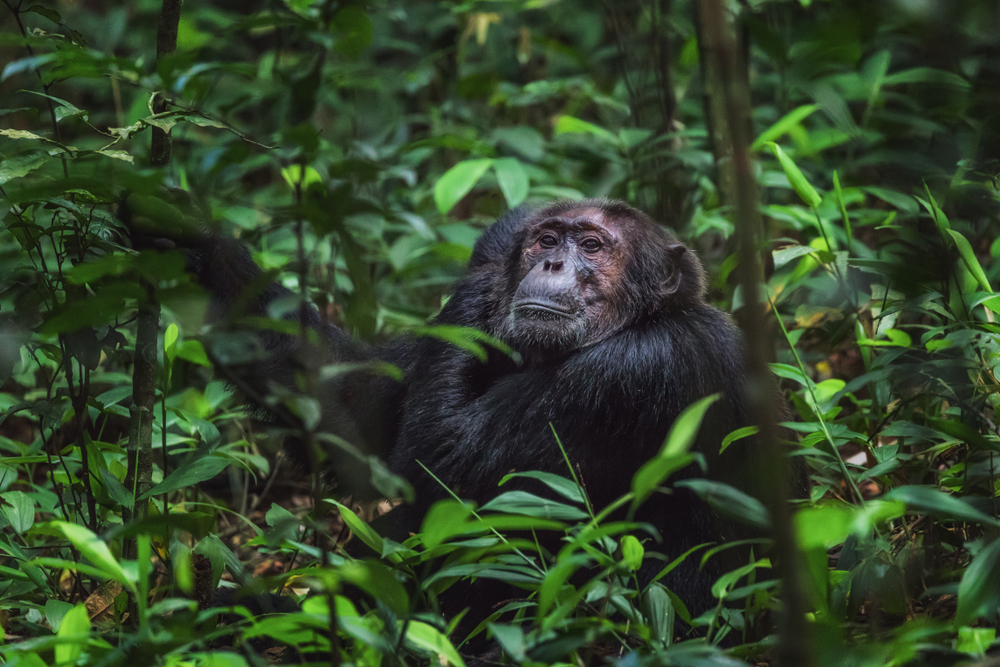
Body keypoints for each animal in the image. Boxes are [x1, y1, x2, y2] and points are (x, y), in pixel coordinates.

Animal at [127, 197, 772, 640]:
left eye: (591, 246)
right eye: (548, 238)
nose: (550, 261)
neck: (641, 320)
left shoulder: (627, 373)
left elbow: (440, 464)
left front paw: (487, 273)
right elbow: (359, 415)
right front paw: (190, 239)